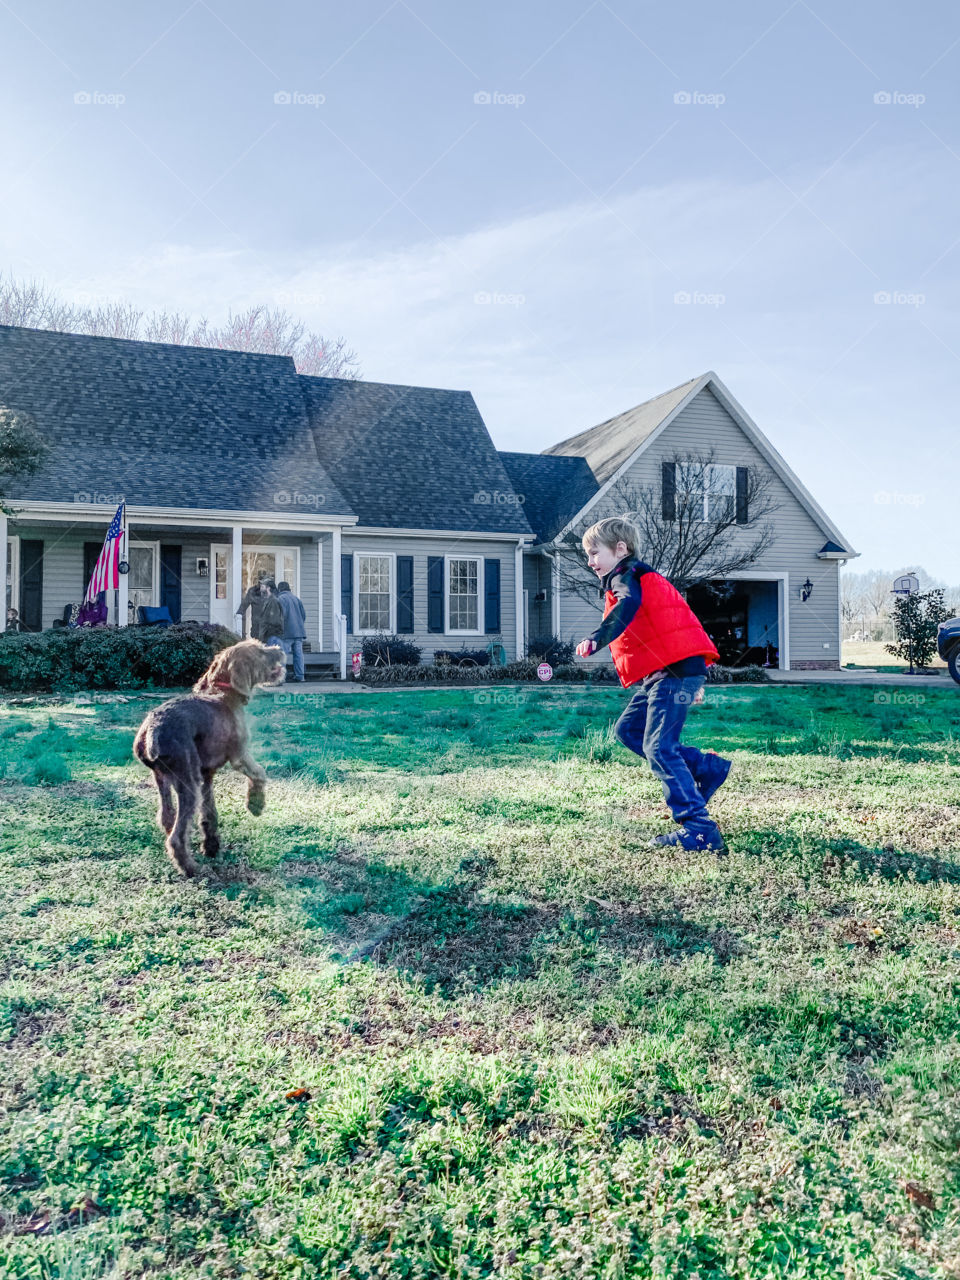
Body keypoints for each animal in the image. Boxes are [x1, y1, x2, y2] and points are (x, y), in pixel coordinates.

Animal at [134, 640, 285, 880]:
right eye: (260, 651)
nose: (279, 650)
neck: (224, 692)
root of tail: (152, 732)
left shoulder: (206, 774)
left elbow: (209, 812)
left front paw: (211, 846)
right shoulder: (240, 755)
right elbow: (260, 773)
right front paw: (255, 805)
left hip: (163, 779)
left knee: (167, 818)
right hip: (187, 783)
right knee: (176, 837)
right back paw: (191, 868)